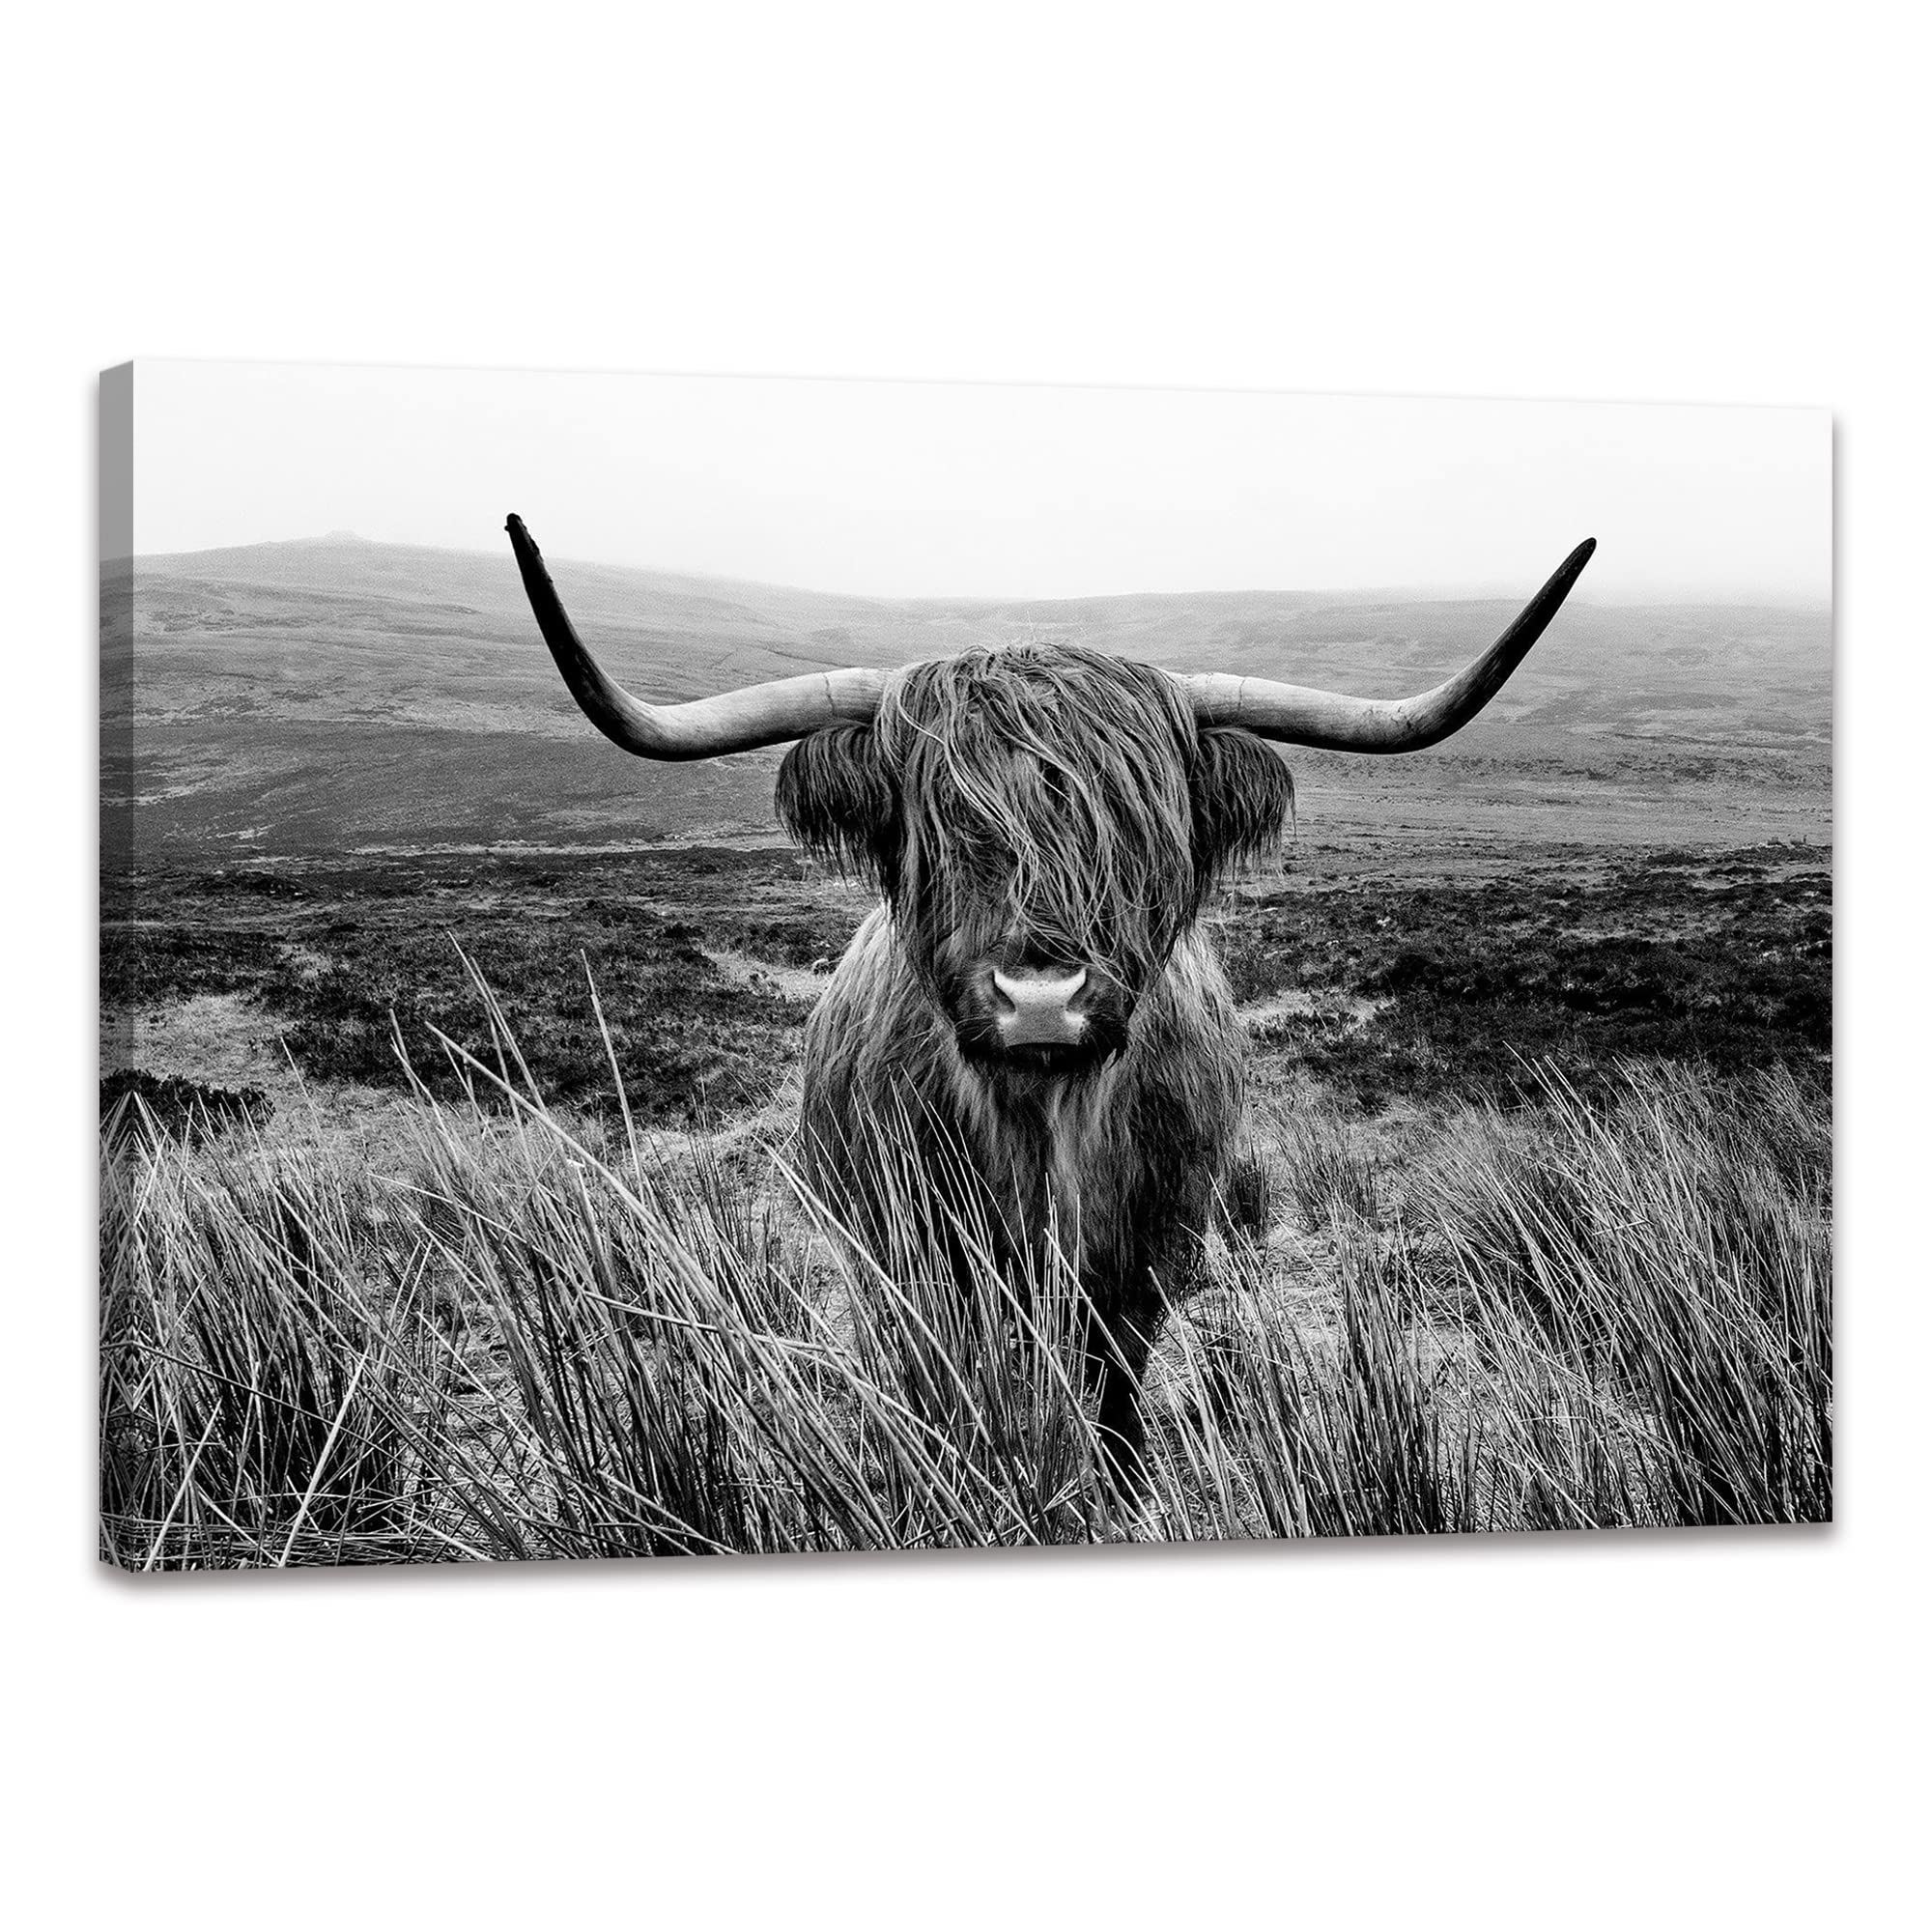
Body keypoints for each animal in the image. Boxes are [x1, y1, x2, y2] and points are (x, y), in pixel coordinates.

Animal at [505, 514, 1595, 1504]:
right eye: (939, 826)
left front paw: (1118, 1480)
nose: (1040, 998)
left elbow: (1114, 1367)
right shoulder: (913, 1250)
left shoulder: (1150, 1243)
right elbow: (947, 1372)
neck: (1041, 1126)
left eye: (1140, 827)